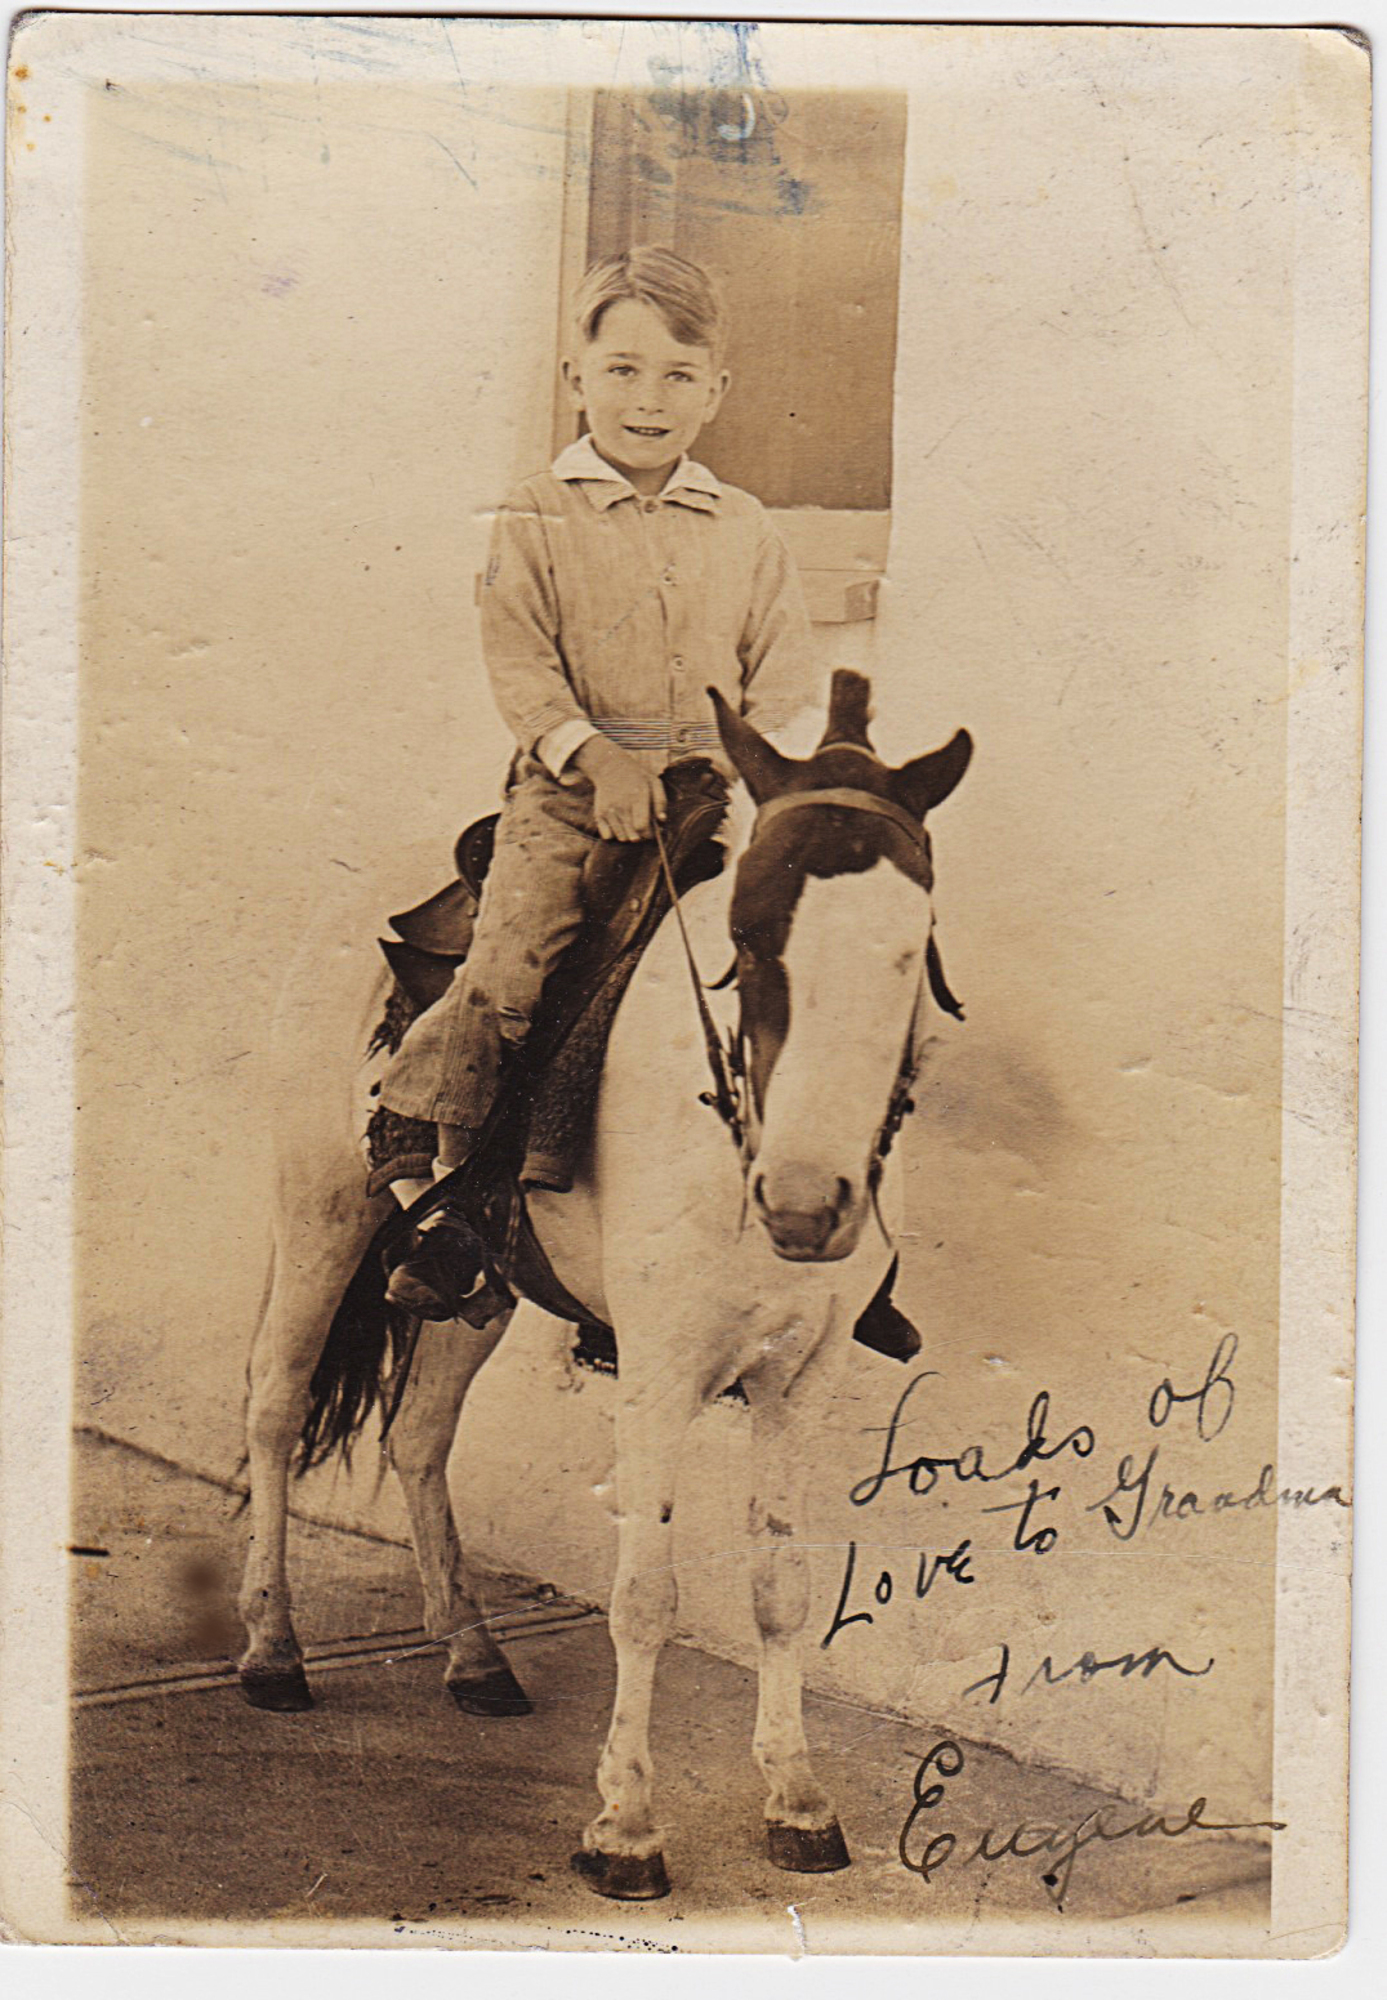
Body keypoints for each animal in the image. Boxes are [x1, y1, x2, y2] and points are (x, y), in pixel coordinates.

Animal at [235, 669, 971, 1900]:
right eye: (746, 935)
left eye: (913, 946)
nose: (807, 1202)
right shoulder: (659, 1370)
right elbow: (646, 1595)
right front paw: (625, 1825)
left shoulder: (803, 1378)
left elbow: (780, 1585)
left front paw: (798, 1801)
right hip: (320, 1211)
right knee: (278, 1410)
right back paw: (271, 1649)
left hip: (476, 1286)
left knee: (419, 1433)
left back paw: (474, 1657)